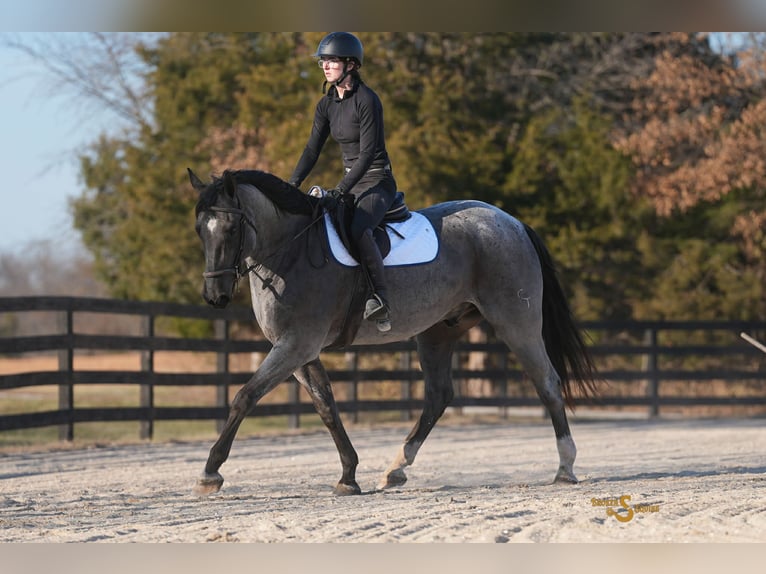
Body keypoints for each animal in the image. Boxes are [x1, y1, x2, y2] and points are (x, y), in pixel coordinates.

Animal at [189, 168, 598, 496]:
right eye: (199, 230)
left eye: (231, 228)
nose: (214, 296)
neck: (290, 251)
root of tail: (512, 222)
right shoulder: (297, 350)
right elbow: (325, 405)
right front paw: (348, 475)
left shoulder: (296, 346)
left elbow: (245, 396)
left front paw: (210, 472)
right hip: (437, 332)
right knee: (438, 396)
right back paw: (396, 469)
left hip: (516, 322)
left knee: (547, 382)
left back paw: (565, 467)